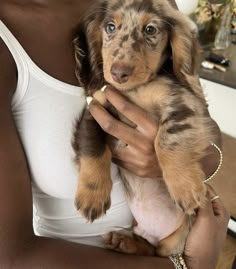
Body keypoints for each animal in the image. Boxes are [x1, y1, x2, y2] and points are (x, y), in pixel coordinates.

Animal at [73, 0, 220, 255]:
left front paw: (184, 187)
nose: (119, 73)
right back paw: (124, 241)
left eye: (150, 30)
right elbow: (93, 149)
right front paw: (92, 196)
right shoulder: (96, 111)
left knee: (157, 252)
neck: (135, 91)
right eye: (110, 27)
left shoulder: (181, 104)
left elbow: (168, 140)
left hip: (178, 238)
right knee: (150, 248)